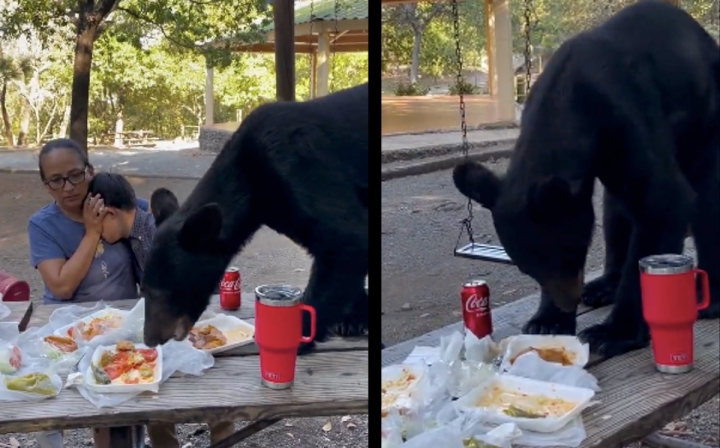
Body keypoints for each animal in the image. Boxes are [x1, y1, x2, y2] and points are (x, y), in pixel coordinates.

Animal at [140, 83, 368, 354]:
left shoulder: (298, 166)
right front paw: (354, 316)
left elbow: (346, 237)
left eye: (162, 292)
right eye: (143, 289)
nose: (150, 339)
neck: (251, 182)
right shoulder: (281, 208)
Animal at [452, 0, 716, 356]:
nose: (569, 302)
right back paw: (604, 285)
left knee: (706, 199)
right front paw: (547, 320)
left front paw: (614, 331)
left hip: (706, 119)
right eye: (525, 268)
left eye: (571, 255)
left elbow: (662, 201)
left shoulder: (628, 115)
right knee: (616, 211)